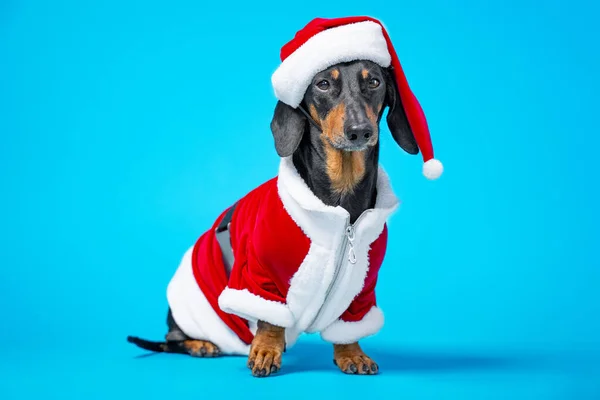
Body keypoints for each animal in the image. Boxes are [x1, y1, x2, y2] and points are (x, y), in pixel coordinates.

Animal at [125, 16, 440, 378]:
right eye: (322, 84)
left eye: (373, 82)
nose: (360, 131)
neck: (341, 207)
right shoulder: (258, 274)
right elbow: (269, 320)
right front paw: (265, 350)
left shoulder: (361, 289)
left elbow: (349, 325)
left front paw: (352, 353)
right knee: (173, 338)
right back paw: (200, 344)